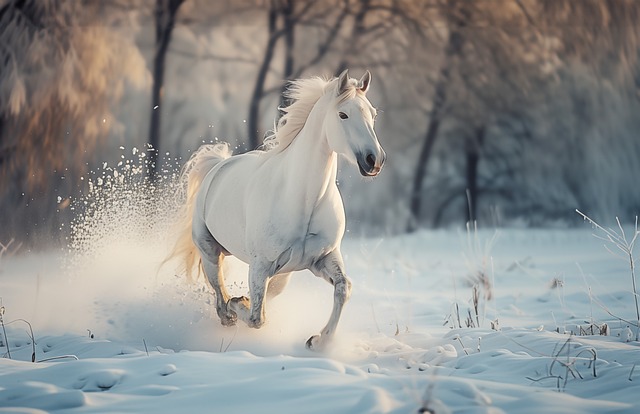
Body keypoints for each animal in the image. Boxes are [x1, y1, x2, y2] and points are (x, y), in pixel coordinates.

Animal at [169, 70, 384, 350]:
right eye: (343, 114)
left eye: (373, 114)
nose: (374, 160)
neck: (302, 201)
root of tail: (218, 165)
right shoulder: (260, 265)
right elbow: (256, 318)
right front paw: (239, 304)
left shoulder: (324, 258)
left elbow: (343, 288)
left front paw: (318, 340)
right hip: (209, 250)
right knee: (219, 294)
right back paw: (229, 310)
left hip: (284, 272)